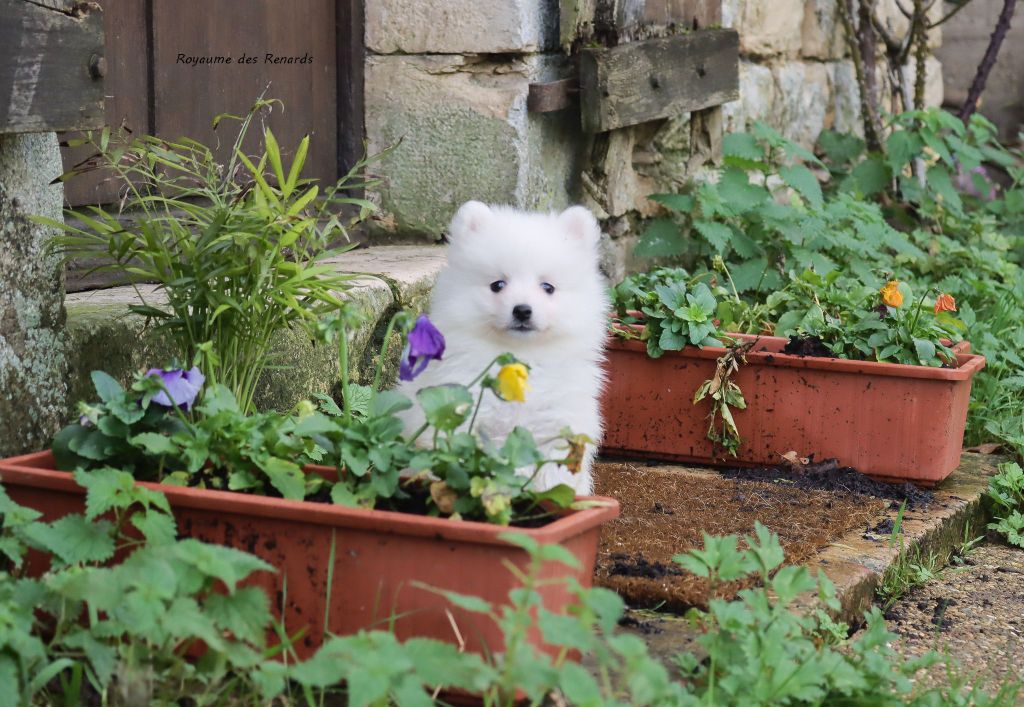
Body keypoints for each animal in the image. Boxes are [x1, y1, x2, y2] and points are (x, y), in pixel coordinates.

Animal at [395, 201, 609, 495]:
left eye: (548, 287)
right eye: (497, 285)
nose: (522, 310)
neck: (520, 360)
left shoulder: (558, 424)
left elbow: (552, 473)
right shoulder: (469, 417)